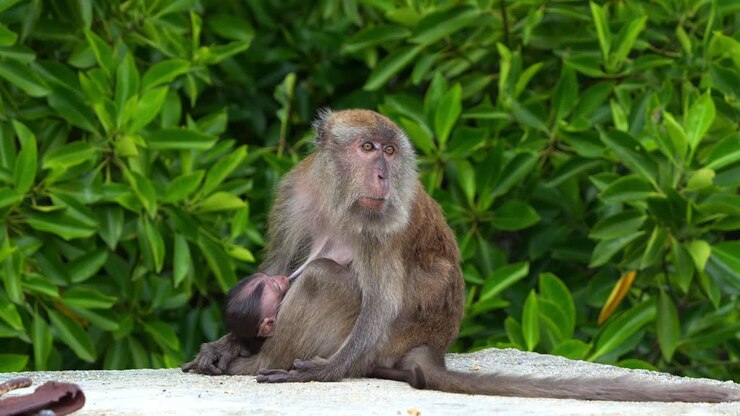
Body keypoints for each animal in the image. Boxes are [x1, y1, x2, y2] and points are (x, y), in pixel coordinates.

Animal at [183, 109, 740, 403]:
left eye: (390, 152)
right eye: (367, 148)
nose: (383, 176)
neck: (339, 196)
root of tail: (429, 346)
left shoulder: (385, 223)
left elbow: (378, 300)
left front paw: (323, 371)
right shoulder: (295, 191)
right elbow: (277, 266)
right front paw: (224, 343)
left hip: (388, 339)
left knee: (322, 277)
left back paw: (267, 362)